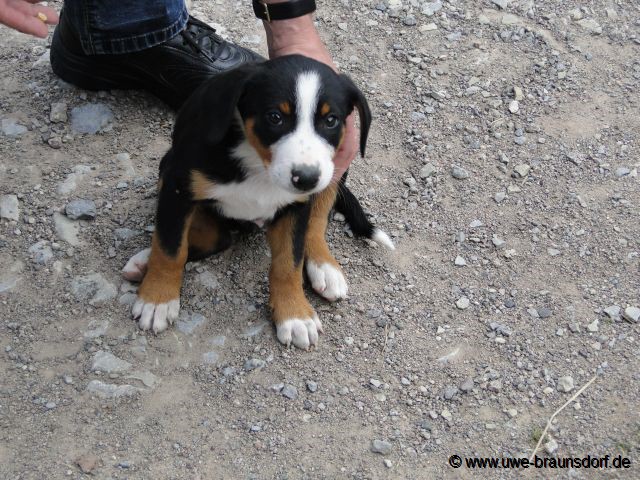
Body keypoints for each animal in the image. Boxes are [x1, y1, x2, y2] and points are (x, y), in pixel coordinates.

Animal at [124, 55, 396, 348]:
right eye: (275, 117)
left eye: (331, 120)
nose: (306, 178)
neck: (259, 166)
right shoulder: (177, 186)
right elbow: (170, 247)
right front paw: (157, 300)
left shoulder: (296, 206)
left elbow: (289, 262)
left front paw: (294, 315)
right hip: (168, 165)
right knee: (212, 238)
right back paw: (143, 263)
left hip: (334, 172)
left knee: (315, 223)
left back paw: (325, 267)